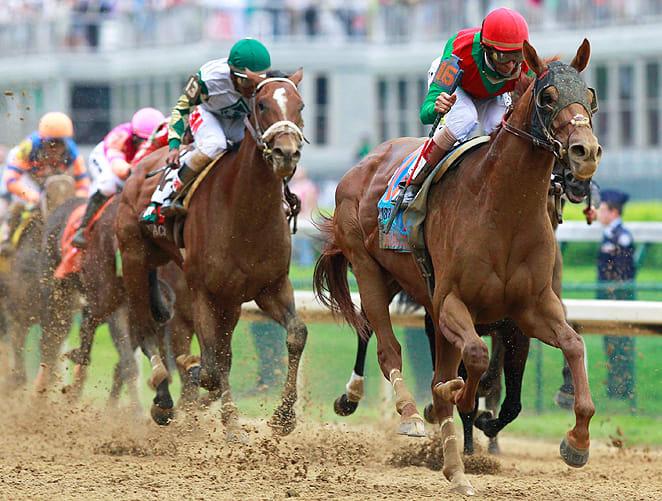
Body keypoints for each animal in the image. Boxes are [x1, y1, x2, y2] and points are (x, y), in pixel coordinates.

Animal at [116, 70, 308, 438]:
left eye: (300, 105)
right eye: (262, 105)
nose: (286, 154)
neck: (246, 212)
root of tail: (142, 165)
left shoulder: (270, 287)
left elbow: (295, 334)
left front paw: (283, 417)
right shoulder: (203, 290)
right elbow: (210, 366)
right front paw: (199, 382)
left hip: (223, 297)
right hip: (134, 258)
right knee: (147, 327)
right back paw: (163, 398)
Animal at [313, 40, 600, 494]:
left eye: (590, 96)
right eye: (547, 97)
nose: (584, 154)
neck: (504, 210)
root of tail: (363, 162)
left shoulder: (529, 310)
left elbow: (572, 345)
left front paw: (576, 441)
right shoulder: (451, 303)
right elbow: (475, 363)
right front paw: (456, 400)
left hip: (407, 283)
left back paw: (455, 469)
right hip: (368, 266)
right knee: (383, 343)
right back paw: (407, 411)